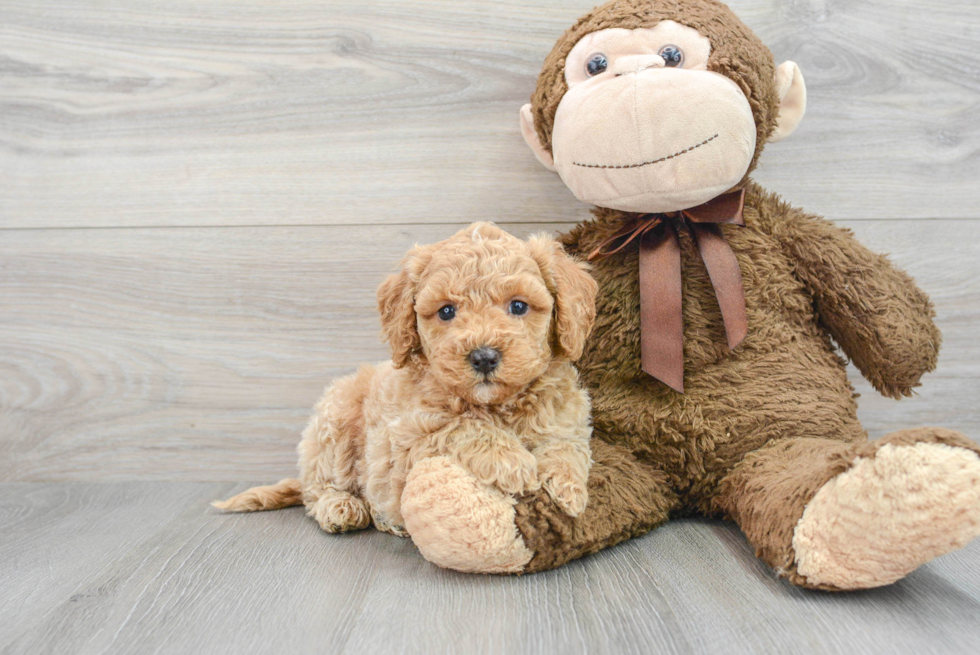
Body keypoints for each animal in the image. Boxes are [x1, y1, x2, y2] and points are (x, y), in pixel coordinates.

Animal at [214, 223, 596, 540]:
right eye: (446, 311)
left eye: (518, 306)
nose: (484, 357)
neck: (496, 405)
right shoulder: (402, 446)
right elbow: (459, 425)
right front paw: (512, 461)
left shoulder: (569, 419)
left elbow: (566, 446)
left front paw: (569, 490)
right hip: (334, 420)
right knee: (318, 490)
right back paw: (341, 507)